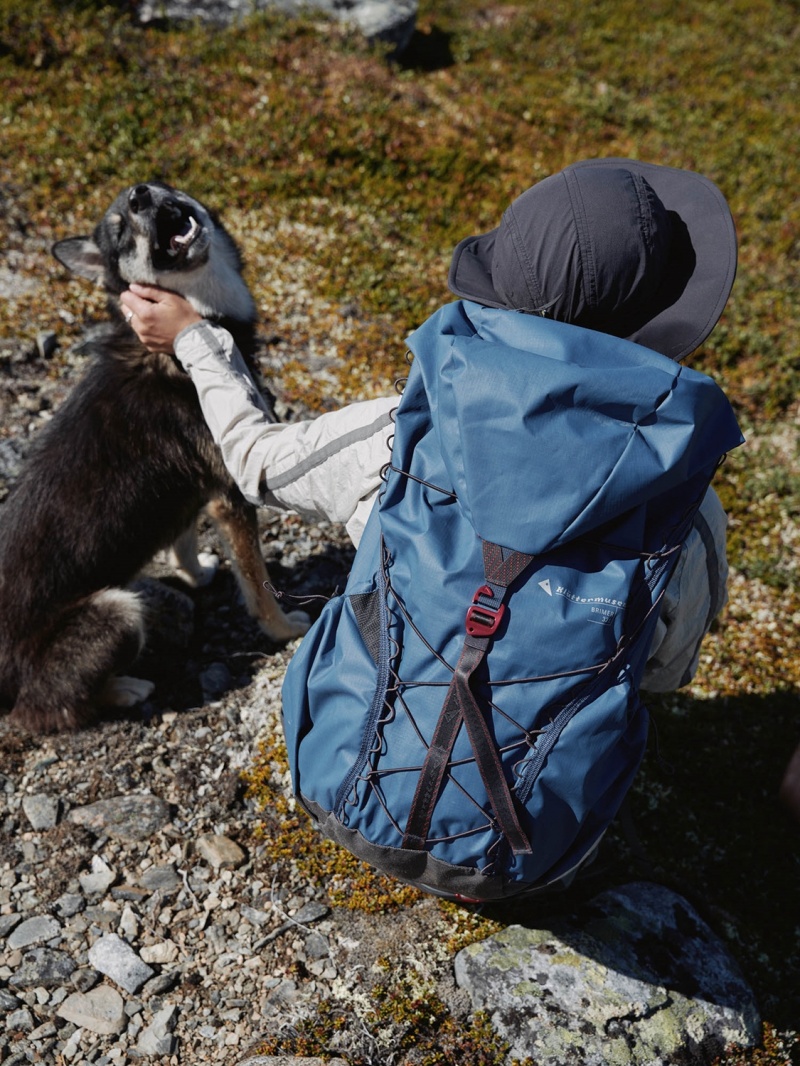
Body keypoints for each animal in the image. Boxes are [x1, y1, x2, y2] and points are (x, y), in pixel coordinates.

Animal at [0, 183, 309, 733]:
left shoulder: (190, 491)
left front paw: (196, 573)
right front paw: (282, 629)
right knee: (47, 709)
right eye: (121, 231)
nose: (141, 196)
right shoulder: (232, 489)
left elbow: (183, 539)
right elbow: (259, 584)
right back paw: (125, 689)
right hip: (119, 612)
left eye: (156, 188)